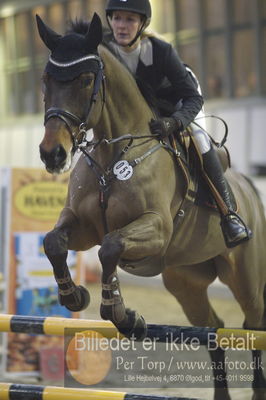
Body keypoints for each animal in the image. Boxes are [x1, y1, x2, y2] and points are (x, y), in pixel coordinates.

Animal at [35, 13, 266, 400]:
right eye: (47, 79)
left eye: (86, 80)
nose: (52, 154)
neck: (113, 155)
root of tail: (248, 186)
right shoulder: (82, 227)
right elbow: (54, 242)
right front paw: (75, 296)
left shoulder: (155, 227)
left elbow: (111, 247)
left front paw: (122, 314)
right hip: (185, 281)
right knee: (214, 329)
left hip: (244, 274)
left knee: (253, 324)